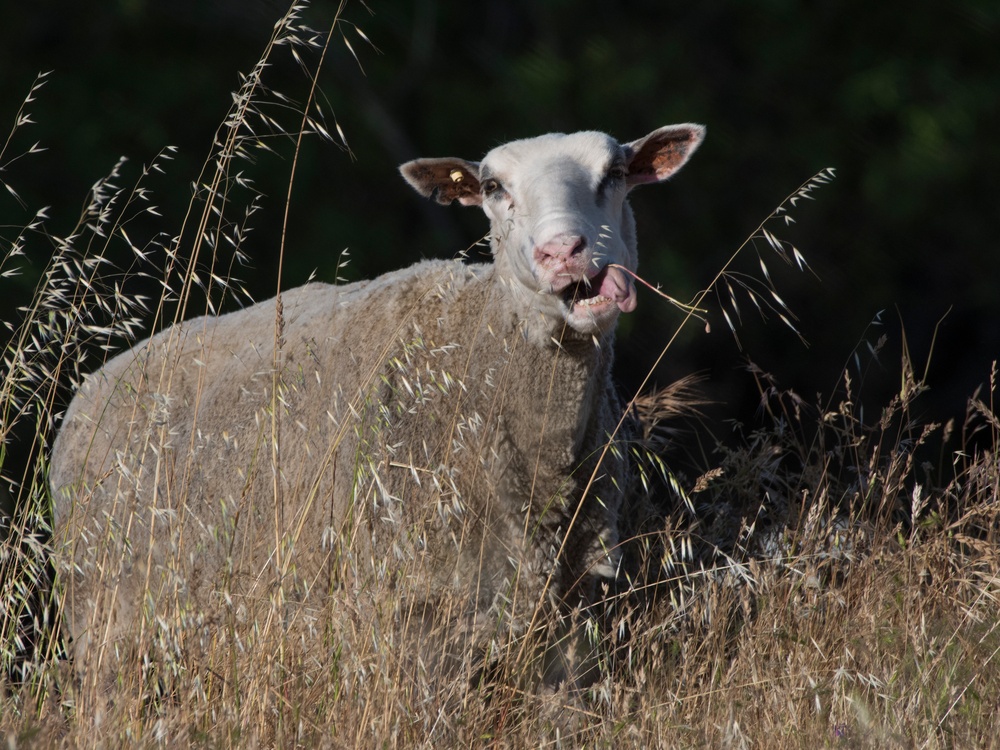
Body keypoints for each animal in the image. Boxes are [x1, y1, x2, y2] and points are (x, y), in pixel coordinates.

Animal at [49, 124, 704, 700]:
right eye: (493, 187)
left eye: (615, 173)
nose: (562, 252)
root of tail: (92, 386)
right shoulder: (413, 616)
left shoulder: (574, 613)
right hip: (102, 626)